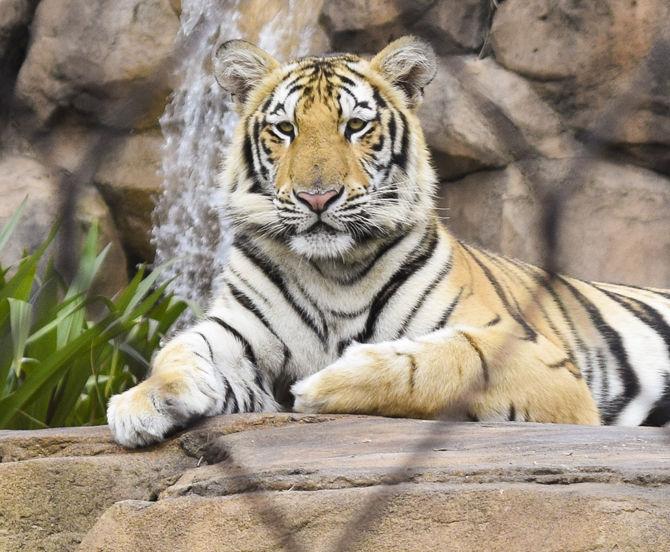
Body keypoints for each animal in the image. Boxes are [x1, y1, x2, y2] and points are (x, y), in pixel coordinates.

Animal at [107, 35, 670, 448]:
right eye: (285, 129)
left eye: (355, 126)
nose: (317, 197)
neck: (331, 271)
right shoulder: (237, 330)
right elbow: (180, 350)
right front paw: (143, 401)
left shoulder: (537, 356)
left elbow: (448, 358)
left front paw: (320, 385)